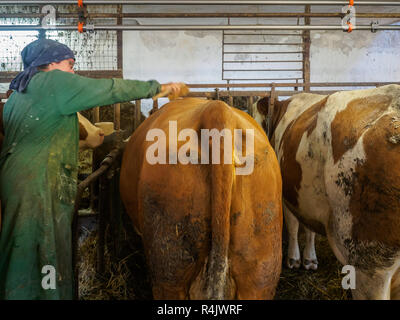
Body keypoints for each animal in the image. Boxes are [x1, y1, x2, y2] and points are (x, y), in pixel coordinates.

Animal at [253, 85, 400, 300]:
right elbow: (309, 229)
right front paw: (309, 259)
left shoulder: (288, 193)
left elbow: (294, 225)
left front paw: (294, 258)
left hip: (368, 261)